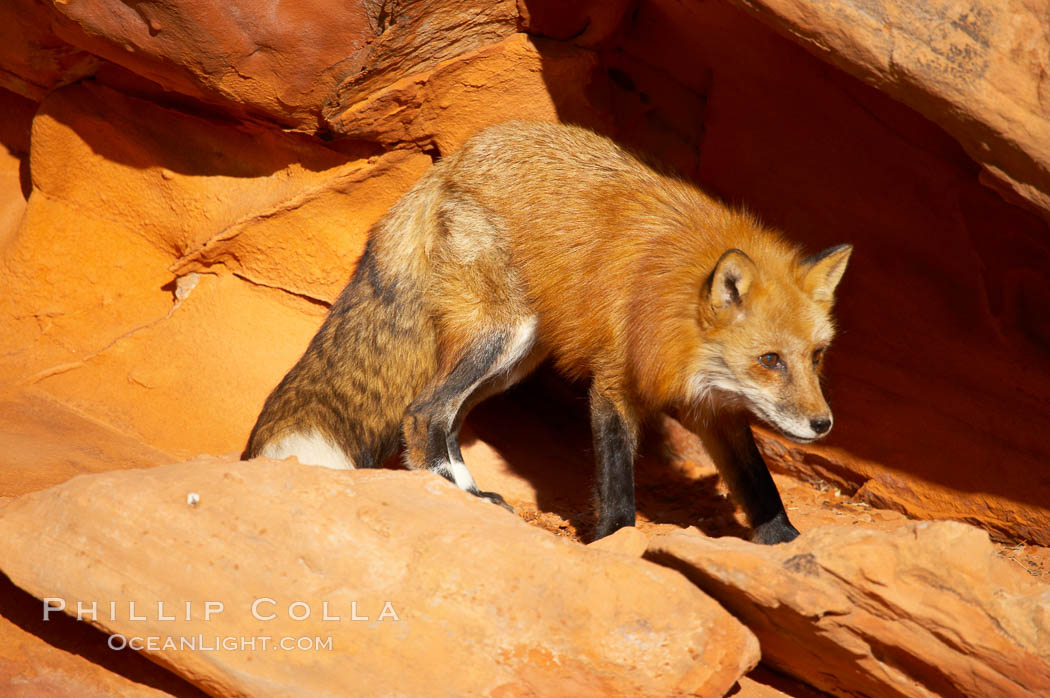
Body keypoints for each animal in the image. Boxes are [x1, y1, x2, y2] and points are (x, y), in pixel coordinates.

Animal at [247, 119, 852, 545]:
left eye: (816, 357)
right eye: (771, 360)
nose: (823, 425)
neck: (671, 304)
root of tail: (455, 160)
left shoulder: (715, 407)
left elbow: (759, 485)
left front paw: (787, 544)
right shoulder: (614, 382)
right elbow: (616, 484)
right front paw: (615, 542)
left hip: (512, 362)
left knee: (446, 418)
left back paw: (465, 489)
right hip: (500, 335)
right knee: (421, 412)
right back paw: (460, 494)